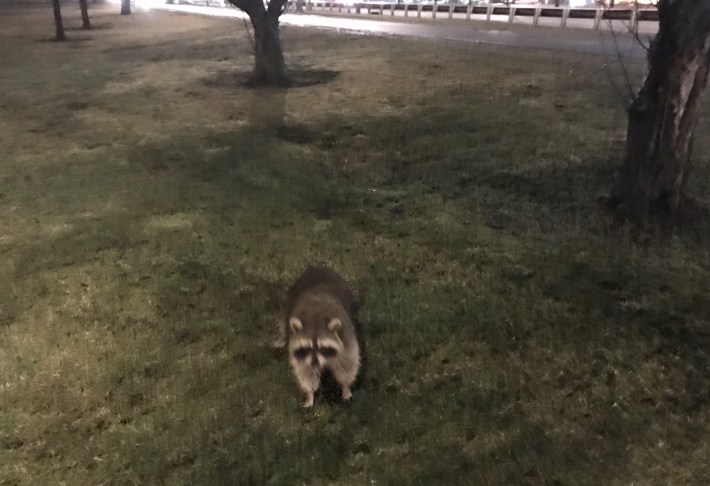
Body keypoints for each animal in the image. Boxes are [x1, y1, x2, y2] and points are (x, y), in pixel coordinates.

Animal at [276, 268, 362, 408]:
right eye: (306, 347)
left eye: (323, 348)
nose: (314, 362)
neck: (315, 320)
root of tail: (316, 268)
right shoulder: (301, 355)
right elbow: (305, 371)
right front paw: (310, 394)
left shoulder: (346, 339)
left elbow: (347, 364)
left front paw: (346, 387)